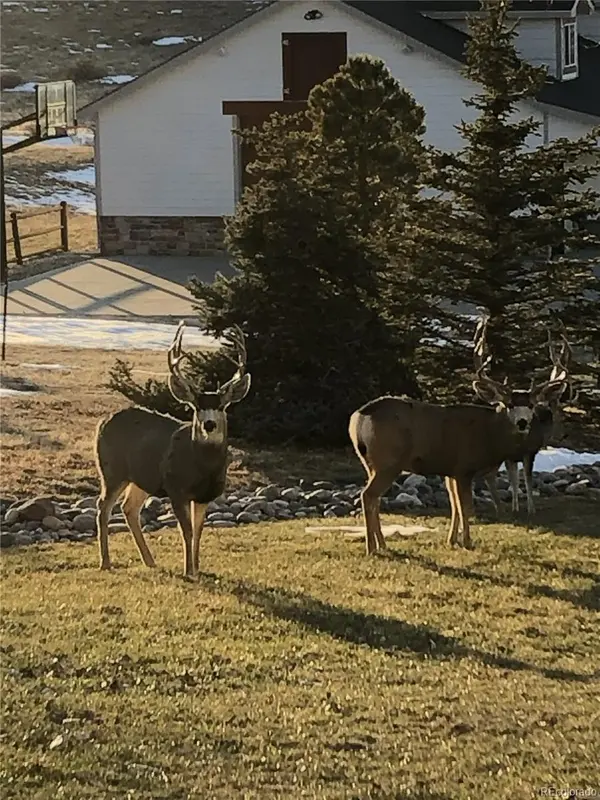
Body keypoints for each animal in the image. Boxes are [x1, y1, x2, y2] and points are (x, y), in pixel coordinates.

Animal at [94, 321, 251, 578]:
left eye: (221, 406)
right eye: (196, 407)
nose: (209, 424)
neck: (202, 467)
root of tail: (103, 421)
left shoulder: (204, 495)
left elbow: (198, 531)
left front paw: (197, 568)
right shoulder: (176, 489)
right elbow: (186, 530)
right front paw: (189, 571)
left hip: (142, 478)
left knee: (129, 508)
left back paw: (150, 561)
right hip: (111, 470)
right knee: (103, 507)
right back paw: (106, 562)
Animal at [349, 329, 569, 554]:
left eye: (532, 405)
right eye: (508, 404)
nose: (523, 422)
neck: (489, 435)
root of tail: (358, 417)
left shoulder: (451, 471)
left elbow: (454, 505)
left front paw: (452, 540)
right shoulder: (464, 467)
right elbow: (465, 507)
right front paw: (467, 541)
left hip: (369, 462)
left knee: (374, 498)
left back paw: (382, 544)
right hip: (389, 461)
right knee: (368, 495)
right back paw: (371, 548)